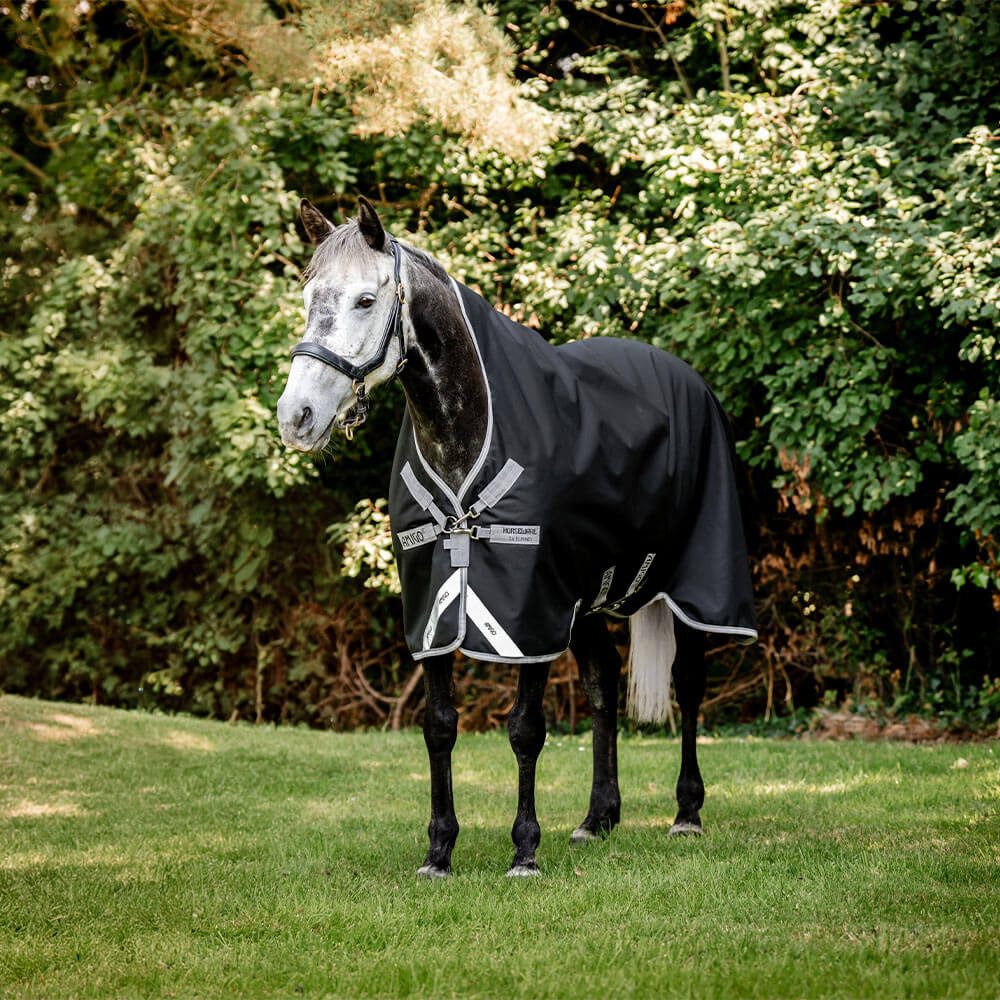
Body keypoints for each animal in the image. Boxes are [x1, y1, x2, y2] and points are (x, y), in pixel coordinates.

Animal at [276, 197, 756, 878]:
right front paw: (439, 850)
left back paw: (686, 813)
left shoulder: (527, 610)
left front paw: (524, 849)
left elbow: (526, 728)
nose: (297, 418)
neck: (470, 430)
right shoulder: (436, 608)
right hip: (585, 597)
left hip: (691, 585)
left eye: (366, 300)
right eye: (308, 296)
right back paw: (597, 818)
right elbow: (439, 725)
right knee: (604, 685)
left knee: (689, 686)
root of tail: (684, 376)